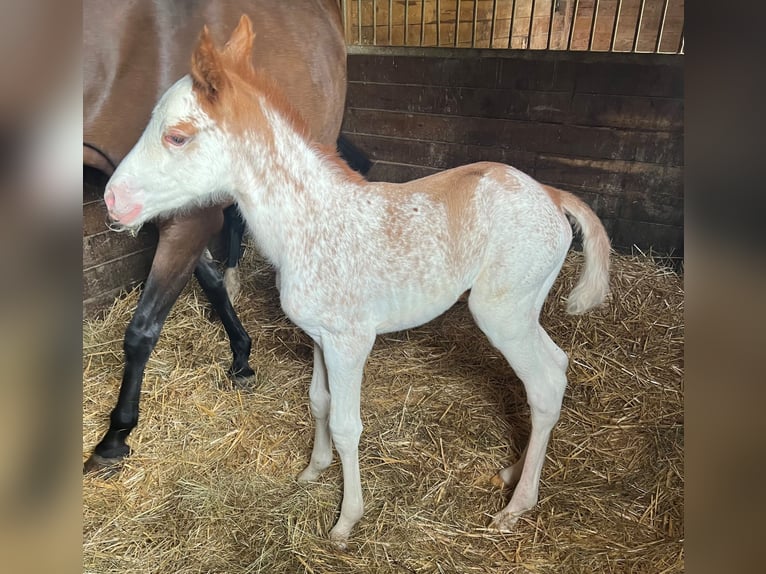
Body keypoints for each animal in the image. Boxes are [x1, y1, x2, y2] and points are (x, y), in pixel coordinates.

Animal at [83, 0, 347, 473]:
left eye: (177, 136)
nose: (113, 199)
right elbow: (209, 280)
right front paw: (241, 356)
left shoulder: (190, 216)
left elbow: (143, 328)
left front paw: (115, 436)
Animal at [104, 16, 611, 547]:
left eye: (177, 137)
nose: (112, 200)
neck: (310, 224)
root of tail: (552, 195)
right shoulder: (320, 337)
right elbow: (319, 402)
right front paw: (312, 471)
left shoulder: (351, 341)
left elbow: (348, 425)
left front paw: (346, 520)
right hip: (524, 309)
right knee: (557, 365)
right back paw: (512, 472)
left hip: (502, 312)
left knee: (545, 384)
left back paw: (515, 507)